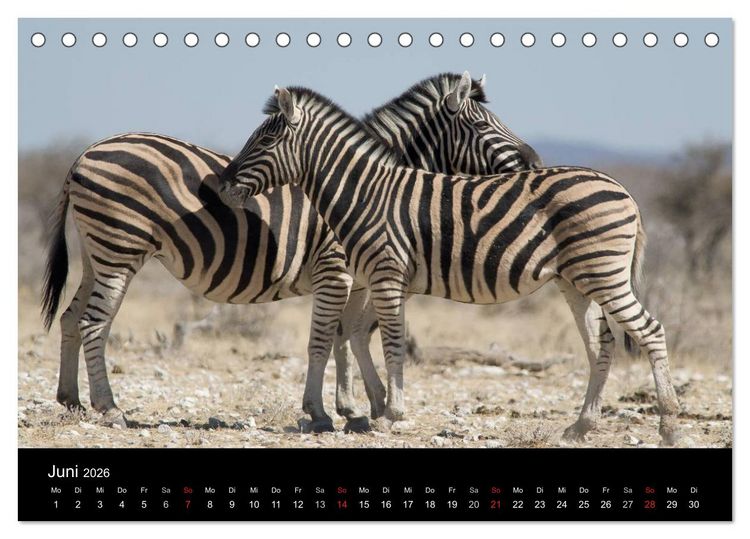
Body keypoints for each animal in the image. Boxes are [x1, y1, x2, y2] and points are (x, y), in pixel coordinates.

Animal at [41, 73, 539, 431]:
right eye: (481, 124)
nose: (534, 162)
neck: (369, 185)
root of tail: (85, 153)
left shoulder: (361, 276)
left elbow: (349, 336)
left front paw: (362, 406)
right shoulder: (337, 270)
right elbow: (329, 337)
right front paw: (332, 411)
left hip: (98, 253)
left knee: (70, 316)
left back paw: (71, 400)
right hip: (119, 251)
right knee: (94, 323)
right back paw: (109, 408)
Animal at [217, 84, 682, 445]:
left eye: (264, 143)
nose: (222, 185)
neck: (364, 193)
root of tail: (624, 190)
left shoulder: (386, 276)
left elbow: (388, 343)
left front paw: (389, 414)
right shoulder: (378, 279)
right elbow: (356, 336)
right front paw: (371, 409)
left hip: (604, 274)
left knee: (651, 331)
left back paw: (669, 428)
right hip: (578, 280)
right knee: (601, 344)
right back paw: (581, 427)